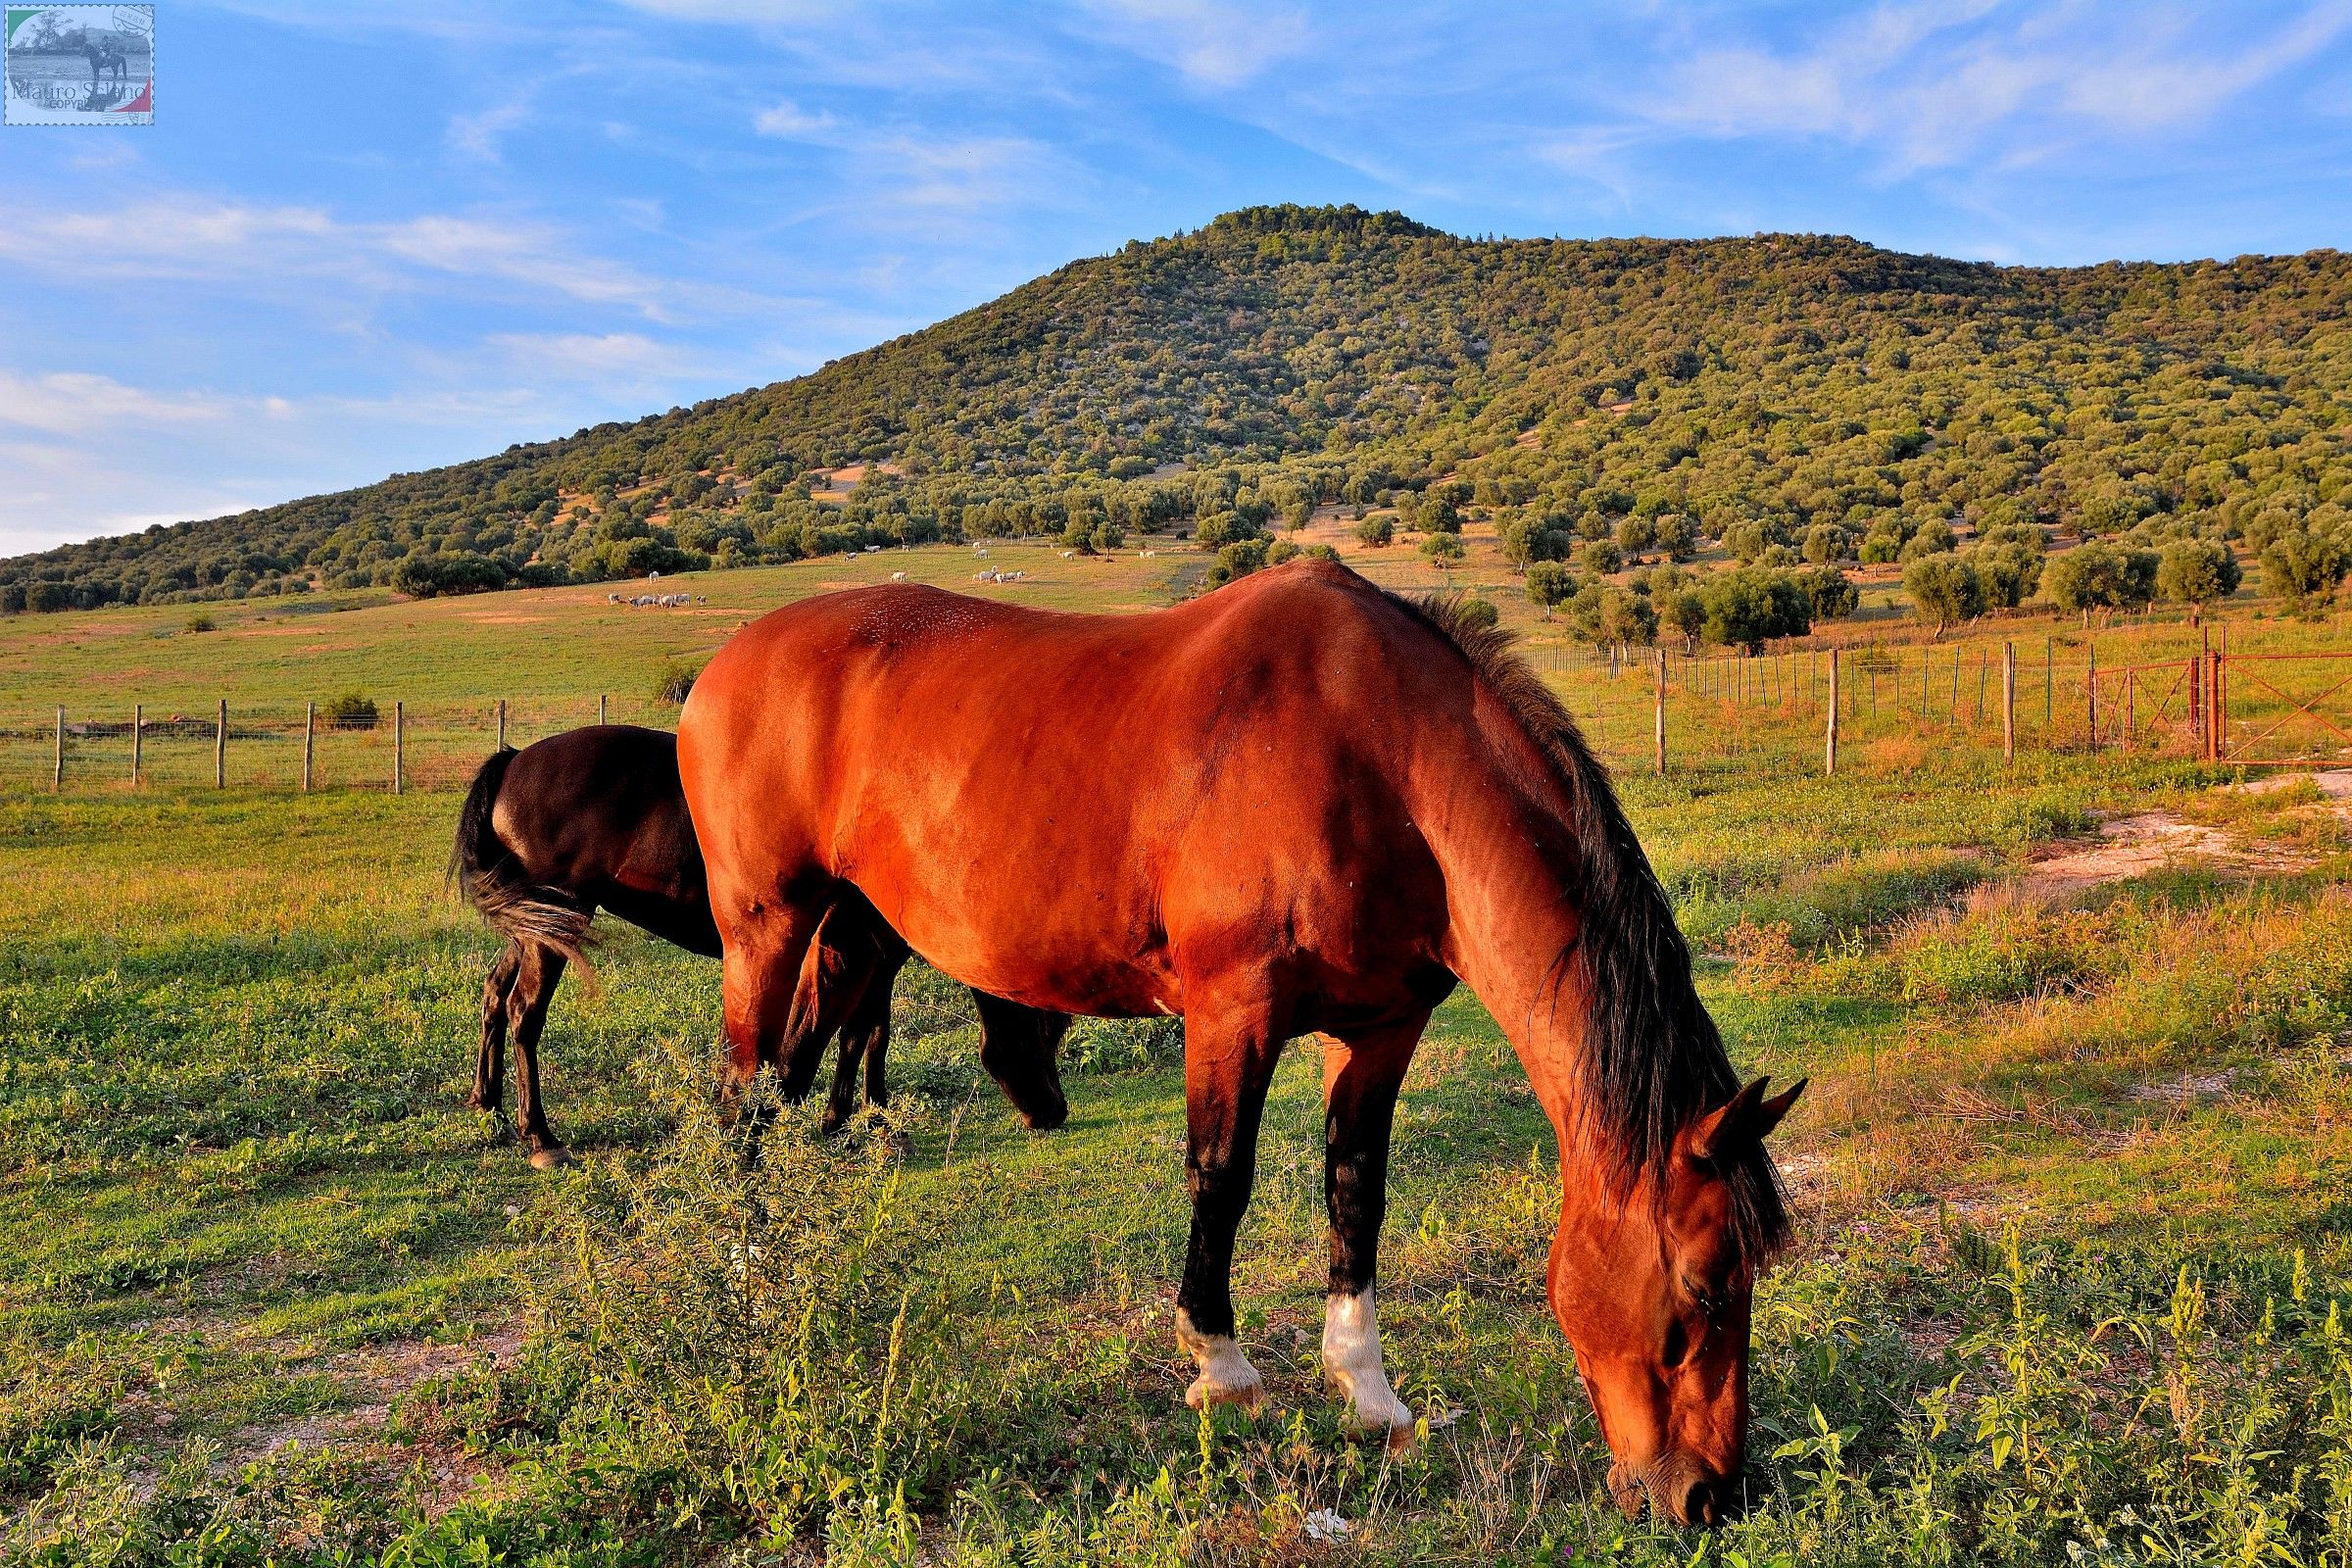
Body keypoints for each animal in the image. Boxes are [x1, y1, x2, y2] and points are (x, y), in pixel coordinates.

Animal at [451, 725, 1070, 1166]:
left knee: (493, 996)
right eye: (1053, 1026)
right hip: (556, 923)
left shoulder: (875, 959)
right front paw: (856, 1122)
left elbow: (870, 1033)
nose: (1055, 1113)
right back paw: (540, 1137)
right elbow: (858, 1034)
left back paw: (490, 1107)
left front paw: (862, 1118)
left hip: (533, 925)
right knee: (523, 1014)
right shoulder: (860, 950)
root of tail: (514, 760)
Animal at [676, 559, 1800, 1527]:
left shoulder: (1382, 1028)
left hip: (842, 925)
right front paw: (1220, 1368)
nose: (1710, 1493)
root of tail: (723, 665)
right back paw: (745, 1267)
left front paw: (1368, 1391)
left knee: (784, 1083)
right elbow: (1221, 1176)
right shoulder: (1233, 1010)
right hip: (763, 928)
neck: (1381, 758)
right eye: (1706, 1285)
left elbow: (1356, 1189)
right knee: (742, 1102)